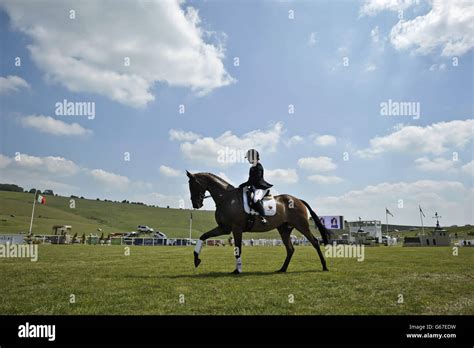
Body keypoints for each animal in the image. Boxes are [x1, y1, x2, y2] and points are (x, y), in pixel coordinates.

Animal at [186, 171, 330, 274]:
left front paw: (237, 270)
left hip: (302, 225)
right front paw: (196, 260)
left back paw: (324, 266)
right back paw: (282, 269)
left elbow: (238, 249)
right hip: (284, 229)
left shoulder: (236, 228)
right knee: (290, 249)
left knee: (315, 242)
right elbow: (203, 236)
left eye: (194, 185)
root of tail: (298, 200)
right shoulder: (224, 228)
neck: (226, 198)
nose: (196, 204)